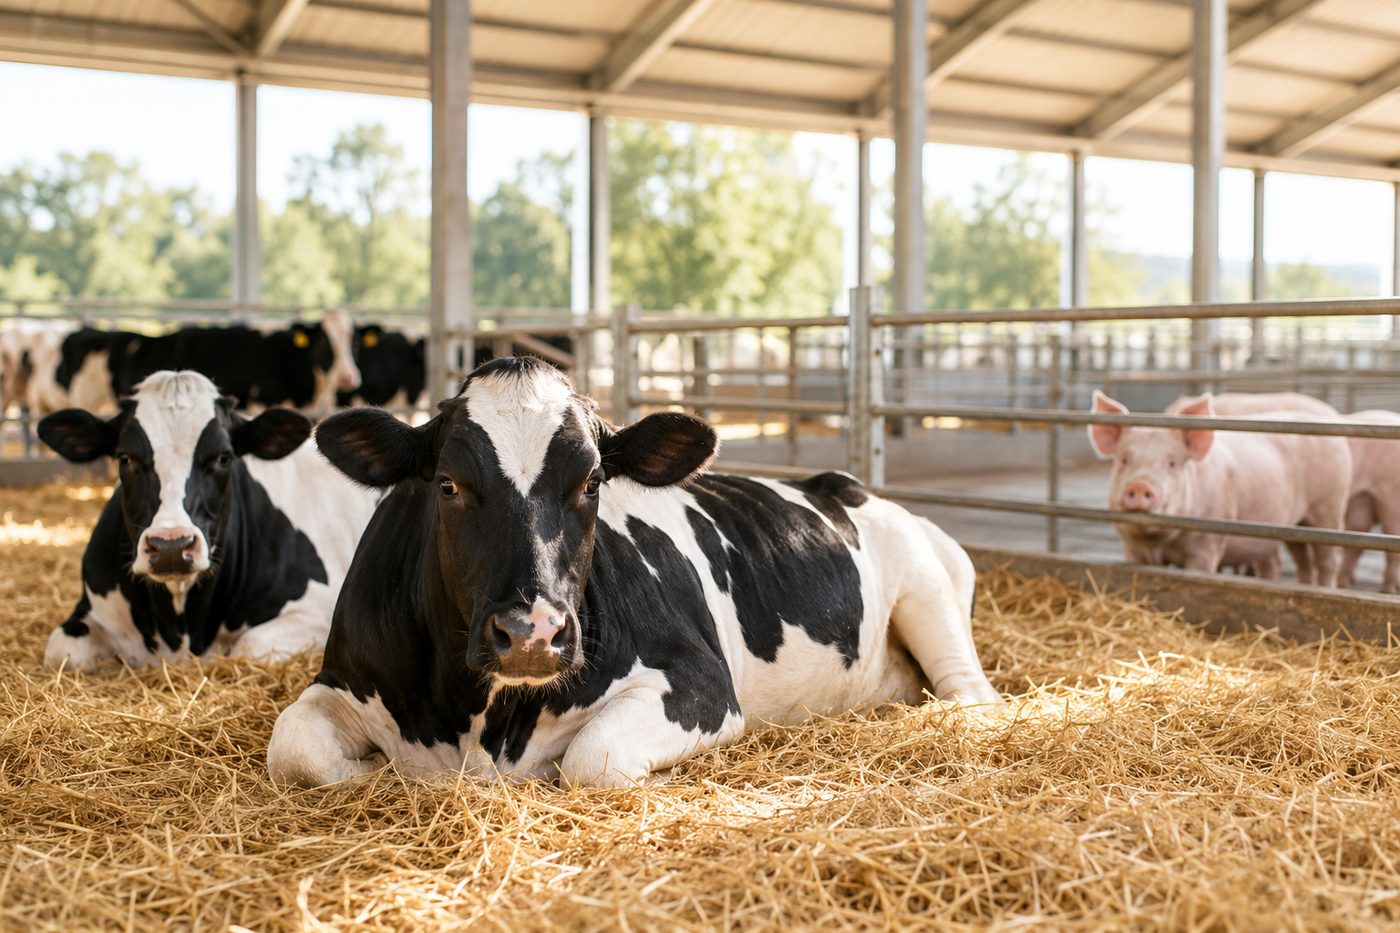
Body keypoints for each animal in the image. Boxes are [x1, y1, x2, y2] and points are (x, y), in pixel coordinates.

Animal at [38, 370, 378, 671]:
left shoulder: (319, 611)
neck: (181, 626)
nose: (171, 546)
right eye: (125, 457)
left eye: (223, 457)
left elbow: (247, 646)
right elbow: (63, 651)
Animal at [267, 356, 1003, 789]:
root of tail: (841, 483)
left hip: (928, 590)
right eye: (447, 484)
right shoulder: (342, 678)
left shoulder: (702, 686)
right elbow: (295, 747)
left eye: (592, 480)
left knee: (970, 694)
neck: (479, 724)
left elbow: (592, 760)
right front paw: (366, 773)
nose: (533, 633)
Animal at [1088, 391, 1351, 586]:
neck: (1159, 541)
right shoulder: (1133, 550)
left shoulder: (1206, 546)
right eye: (1124, 460)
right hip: (1290, 525)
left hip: (1329, 508)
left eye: (1172, 463)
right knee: (1293, 561)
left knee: (1328, 561)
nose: (1140, 484)